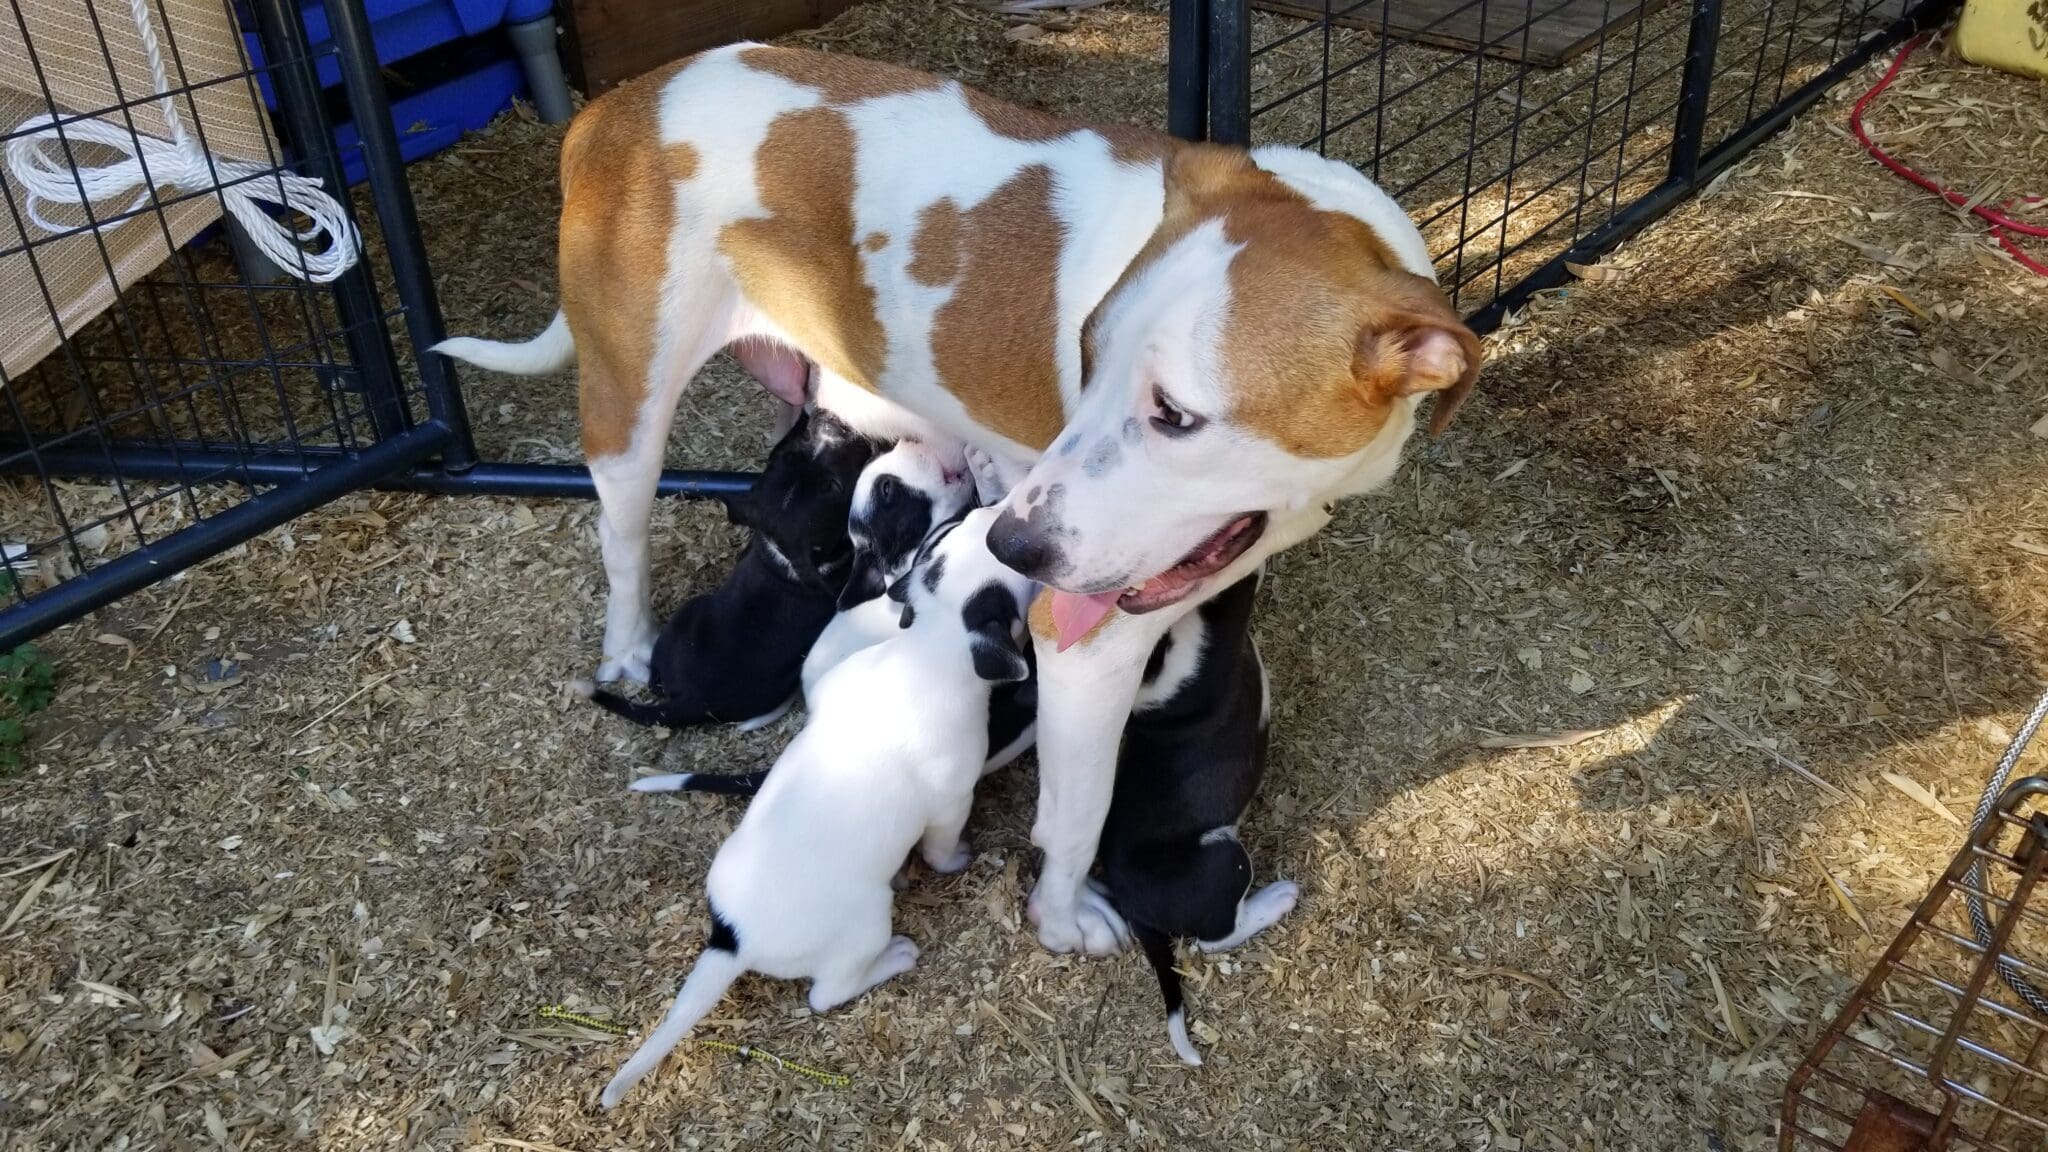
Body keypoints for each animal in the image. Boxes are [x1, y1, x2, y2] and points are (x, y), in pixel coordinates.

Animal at [598, 508, 1032, 1106]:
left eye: (957, 527)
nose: (994, 511)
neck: (927, 649)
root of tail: (737, 940)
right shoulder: (951, 801)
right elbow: (943, 847)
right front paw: (958, 860)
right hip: (865, 925)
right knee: (827, 994)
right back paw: (895, 957)